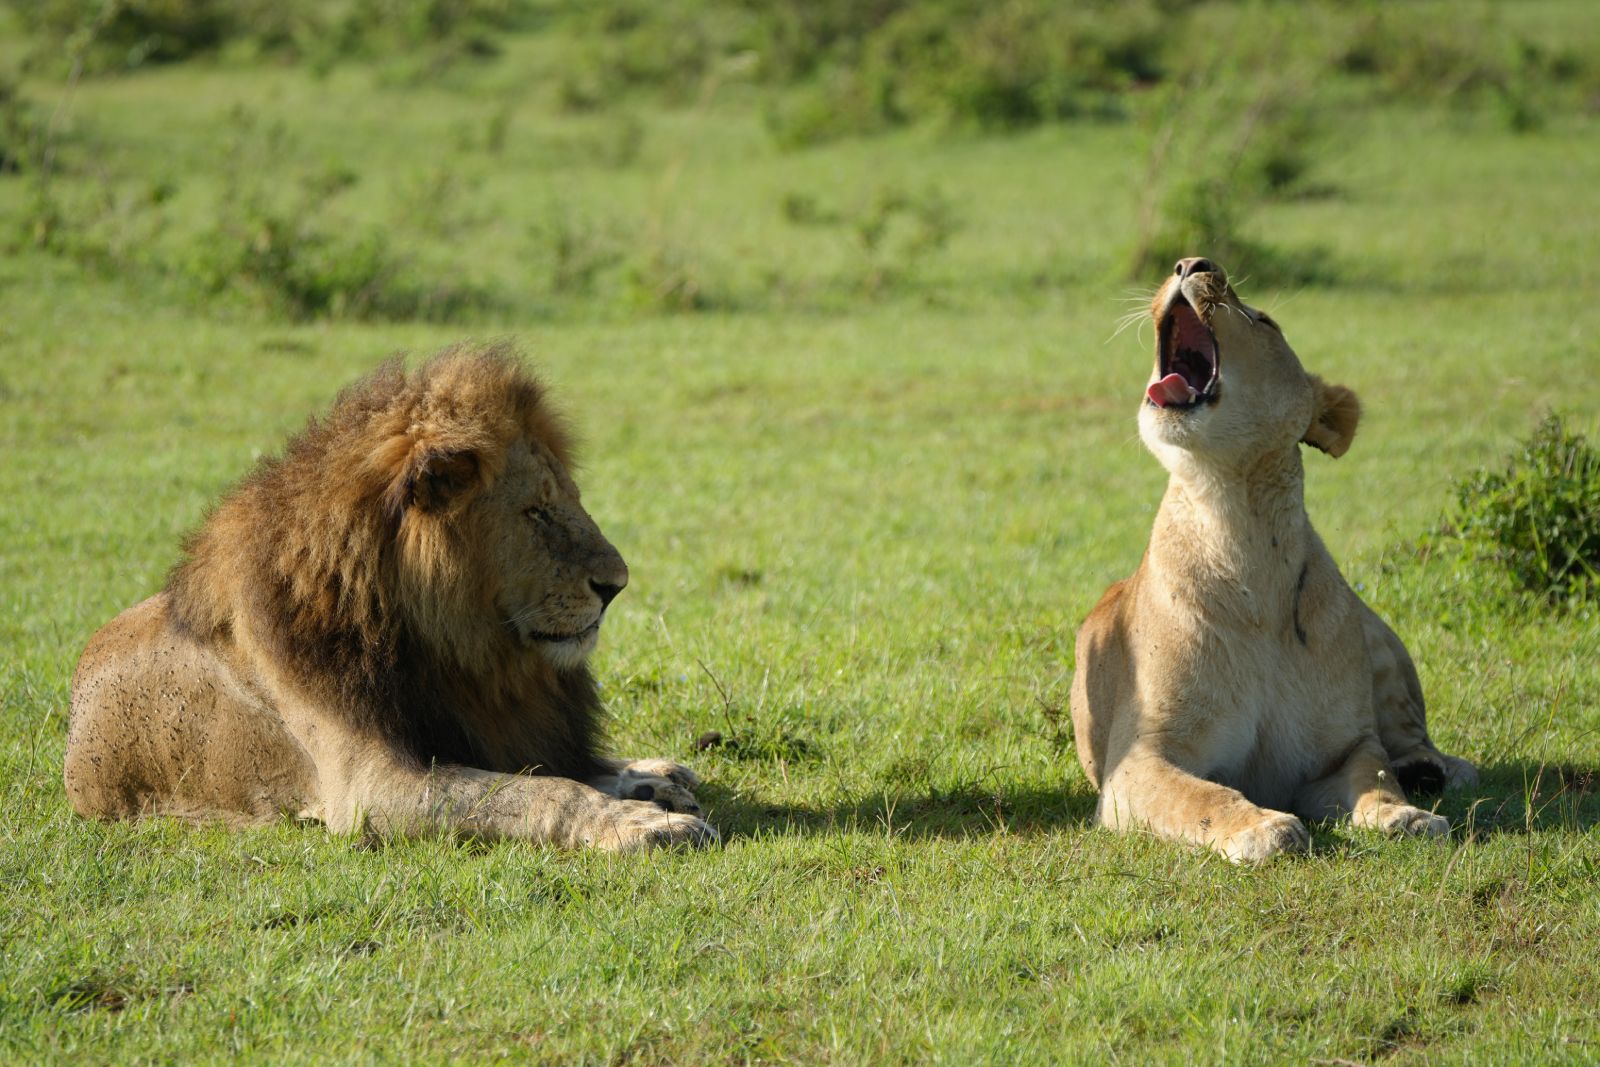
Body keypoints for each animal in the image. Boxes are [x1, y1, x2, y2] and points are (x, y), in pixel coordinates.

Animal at [64, 344, 717, 852]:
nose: (617, 585)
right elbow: (534, 791)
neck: (452, 649)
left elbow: (539, 770)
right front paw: (640, 823)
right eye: (536, 512)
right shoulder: (368, 789)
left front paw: (642, 784)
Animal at [1069, 257, 1476, 863]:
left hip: (1379, 636)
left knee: (1408, 736)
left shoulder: (1339, 751)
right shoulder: (1137, 758)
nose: (1192, 264)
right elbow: (1201, 797)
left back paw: (1430, 769)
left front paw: (1405, 815)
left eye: (1264, 321)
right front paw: (1264, 829)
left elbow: (1375, 775)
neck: (1239, 526)